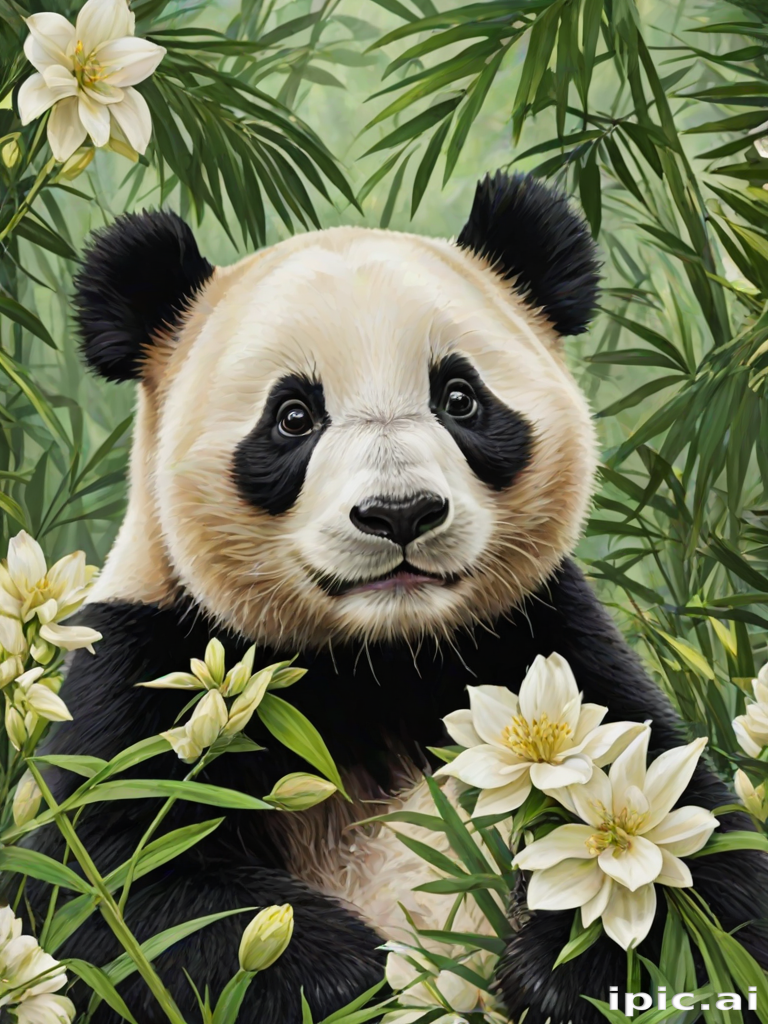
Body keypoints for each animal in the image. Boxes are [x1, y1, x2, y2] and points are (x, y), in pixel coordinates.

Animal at [29, 171, 767, 1024]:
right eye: (293, 416)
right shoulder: (148, 661)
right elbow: (114, 881)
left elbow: (695, 846)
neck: (378, 657)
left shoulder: (545, 638)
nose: (401, 513)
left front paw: (565, 968)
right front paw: (359, 977)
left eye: (460, 397)